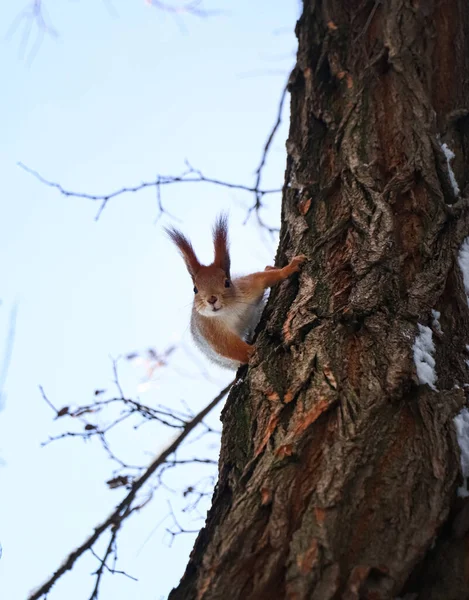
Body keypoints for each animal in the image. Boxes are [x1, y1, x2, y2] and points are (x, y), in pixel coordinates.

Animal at [165, 213, 308, 368]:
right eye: (195, 289)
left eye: (227, 282)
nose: (211, 299)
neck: (229, 310)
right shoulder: (210, 330)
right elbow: (229, 347)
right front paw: (252, 351)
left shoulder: (248, 288)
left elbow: (264, 278)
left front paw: (289, 267)